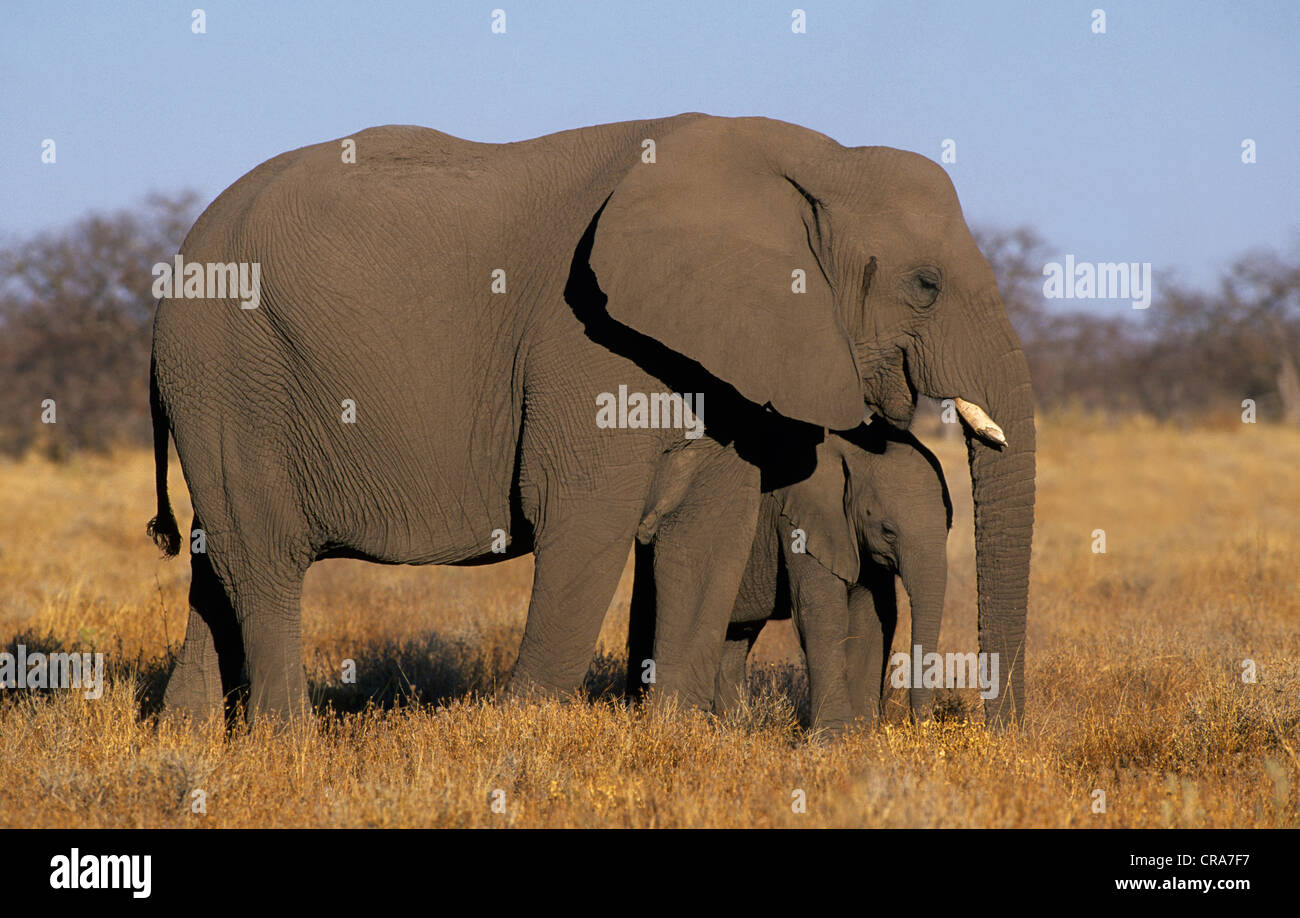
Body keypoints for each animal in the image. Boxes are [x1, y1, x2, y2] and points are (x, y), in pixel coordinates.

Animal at [626, 423, 952, 732]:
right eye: (887, 530)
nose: (921, 726)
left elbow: (874, 619)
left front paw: (860, 737)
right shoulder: (801, 525)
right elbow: (823, 615)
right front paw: (833, 741)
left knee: (737, 637)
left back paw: (734, 726)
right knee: (647, 616)